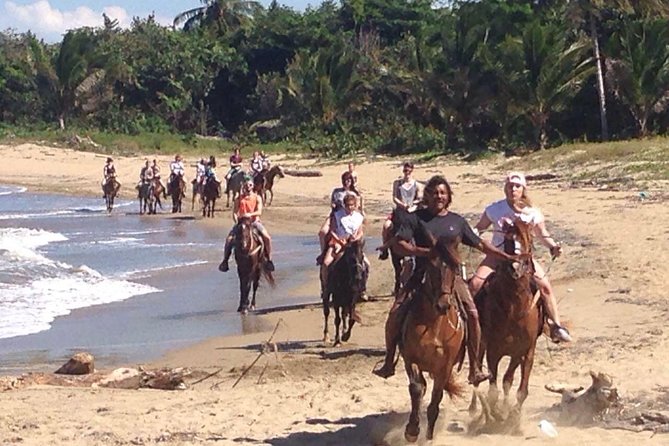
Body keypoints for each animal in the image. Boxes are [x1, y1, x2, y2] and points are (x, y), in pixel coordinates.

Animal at [400, 237, 468, 442]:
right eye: (432, 267)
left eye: (455, 268)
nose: (443, 305)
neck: (434, 326)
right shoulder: (411, 359)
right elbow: (416, 388)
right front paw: (412, 430)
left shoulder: (444, 367)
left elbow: (435, 399)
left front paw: (428, 436)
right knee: (420, 386)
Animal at [470, 218, 544, 412]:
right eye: (508, 239)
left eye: (528, 237)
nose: (516, 268)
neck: (514, 312)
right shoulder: (493, 351)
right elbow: (493, 389)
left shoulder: (522, 351)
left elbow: (513, 386)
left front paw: (510, 415)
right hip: (481, 345)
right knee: (477, 374)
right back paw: (473, 408)